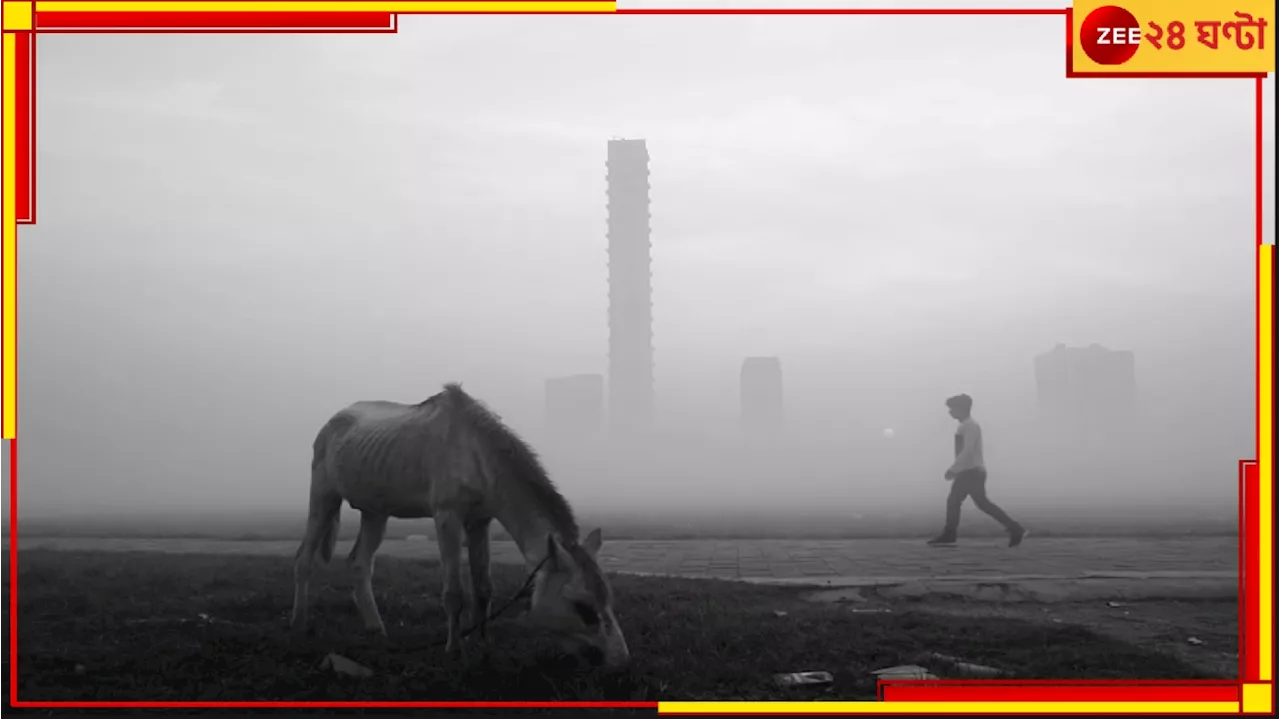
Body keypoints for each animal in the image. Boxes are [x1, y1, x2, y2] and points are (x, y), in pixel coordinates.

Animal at [290, 381, 629, 665]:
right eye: (583, 607)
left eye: (608, 599)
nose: (620, 660)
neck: (476, 453)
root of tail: (331, 422)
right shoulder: (447, 517)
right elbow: (454, 592)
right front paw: (454, 648)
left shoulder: (480, 522)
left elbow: (484, 589)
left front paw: (482, 641)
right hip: (324, 496)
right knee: (305, 559)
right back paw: (300, 624)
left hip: (375, 511)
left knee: (359, 563)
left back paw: (377, 629)